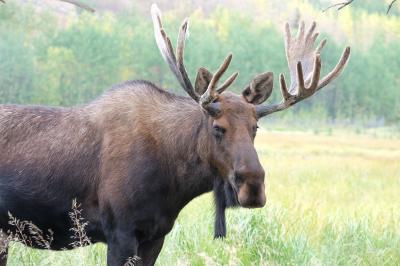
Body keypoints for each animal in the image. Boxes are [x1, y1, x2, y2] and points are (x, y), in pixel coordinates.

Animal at [0, 4, 350, 266]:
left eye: (256, 128)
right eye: (218, 128)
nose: (253, 187)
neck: (174, 182)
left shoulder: (156, 235)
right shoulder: (120, 232)